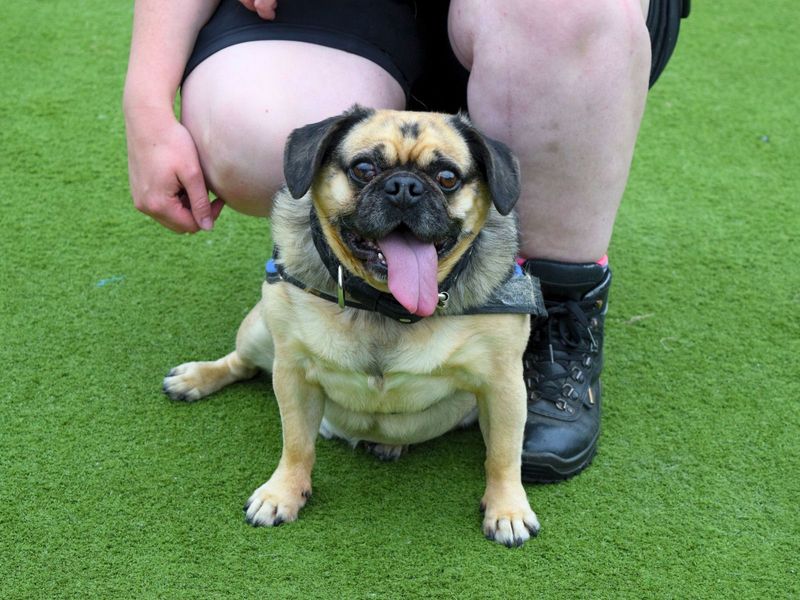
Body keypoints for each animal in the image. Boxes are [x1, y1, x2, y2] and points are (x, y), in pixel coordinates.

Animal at [166, 108, 548, 548]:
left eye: (447, 177)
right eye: (364, 169)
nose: (405, 187)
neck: (385, 304)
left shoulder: (503, 386)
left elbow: (503, 454)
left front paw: (507, 510)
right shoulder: (292, 373)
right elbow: (296, 445)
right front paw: (283, 494)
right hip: (259, 330)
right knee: (241, 363)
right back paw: (194, 378)